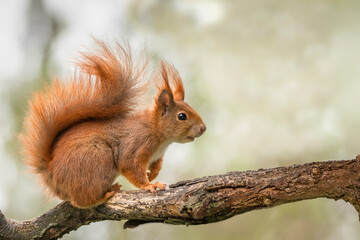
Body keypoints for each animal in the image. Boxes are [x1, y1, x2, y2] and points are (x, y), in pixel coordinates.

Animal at [20, 40, 205, 208]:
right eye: (182, 116)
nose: (204, 128)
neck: (159, 135)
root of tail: (51, 174)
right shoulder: (136, 145)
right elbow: (130, 166)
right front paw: (149, 184)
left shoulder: (157, 155)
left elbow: (157, 164)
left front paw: (152, 173)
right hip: (97, 159)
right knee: (81, 201)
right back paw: (104, 195)